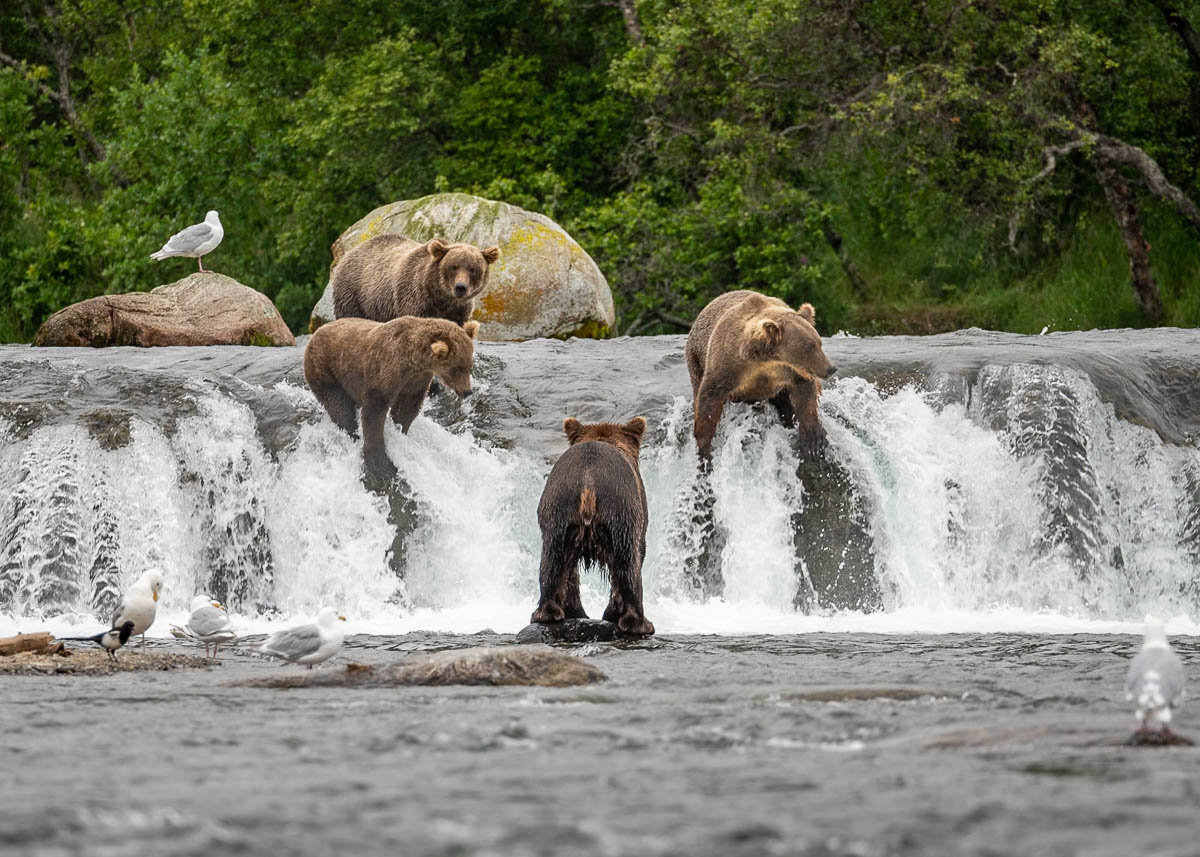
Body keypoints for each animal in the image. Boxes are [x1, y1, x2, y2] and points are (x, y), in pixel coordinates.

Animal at [302, 316, 480, 484]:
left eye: (469, 365)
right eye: (457, 369)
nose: (467, 391)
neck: (412, 360)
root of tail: (316, 332)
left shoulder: (416, 380)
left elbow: (407, 407)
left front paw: (400, 429)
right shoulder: (385, 369)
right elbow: (374, 410)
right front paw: (381, 463)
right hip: (325, 368)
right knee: (339, 406)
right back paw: (351, 432)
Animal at [331, 235, 499, 326]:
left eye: (473, 269)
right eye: (453, 267)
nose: (460, 287)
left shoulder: (459, 309)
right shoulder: (414, 298)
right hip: (353, 293)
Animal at [532, 412, 657, 633]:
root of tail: (588, 482)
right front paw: (612, 613)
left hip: (558, 508)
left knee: (552, 560)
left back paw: (547, 612)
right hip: (620, 508)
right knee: (628, 562)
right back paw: (640, 622)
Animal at [686, 289, 835, 460]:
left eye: (819, 343)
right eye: (810, 347)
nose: (831, 368)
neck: (764, 361)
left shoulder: (788, 372)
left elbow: (805, 396)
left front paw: (812, 441)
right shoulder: (727, 365)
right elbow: (709, 400)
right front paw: (704, 448)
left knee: (786, 403)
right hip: (695, 361)